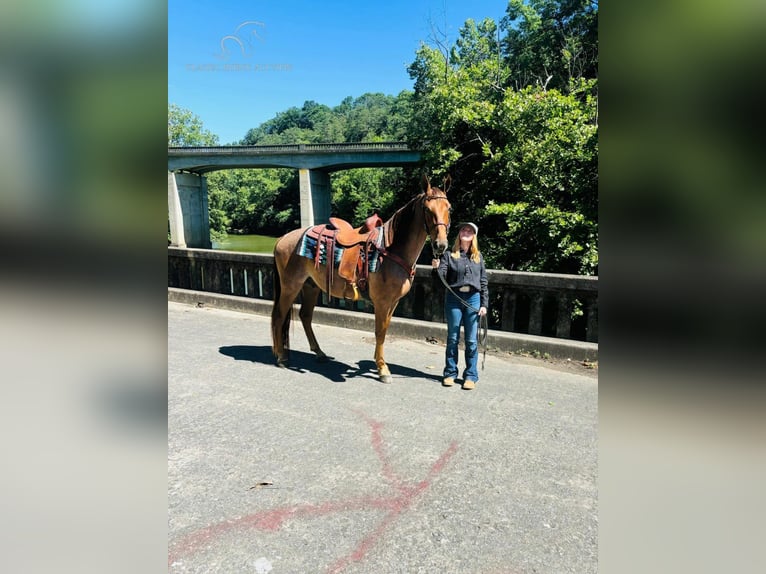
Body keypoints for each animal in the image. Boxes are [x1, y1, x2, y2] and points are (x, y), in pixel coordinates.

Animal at [272, 173, 452, 384]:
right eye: (427, 209)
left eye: (449, 208)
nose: (441, 245)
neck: (391, 250)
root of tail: (282, 239)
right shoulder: (382, 302)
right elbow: (379, 332)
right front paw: (383, 369)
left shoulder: (393, 302)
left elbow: (384, 330)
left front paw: (378, 363)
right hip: (290, 286)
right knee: (279, 315)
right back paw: (281, 357)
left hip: (311, 286)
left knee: (305, 316)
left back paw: (319, 353)